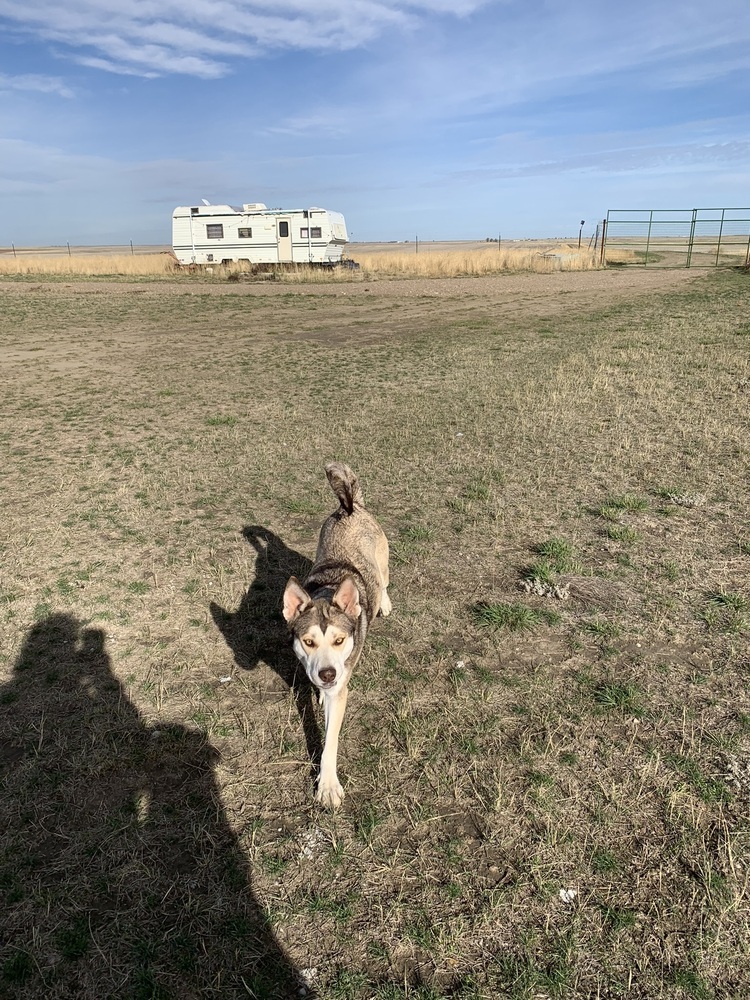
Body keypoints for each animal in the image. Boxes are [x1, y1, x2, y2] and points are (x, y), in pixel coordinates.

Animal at [284, 464, 394, 808]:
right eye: (308, 642)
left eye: (339, 640)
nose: (328, 673)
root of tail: (349, 508)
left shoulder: (340, 689)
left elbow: (330, 739)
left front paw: (328, 785)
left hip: (382, 560)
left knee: (383, 580)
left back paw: (384, 602)